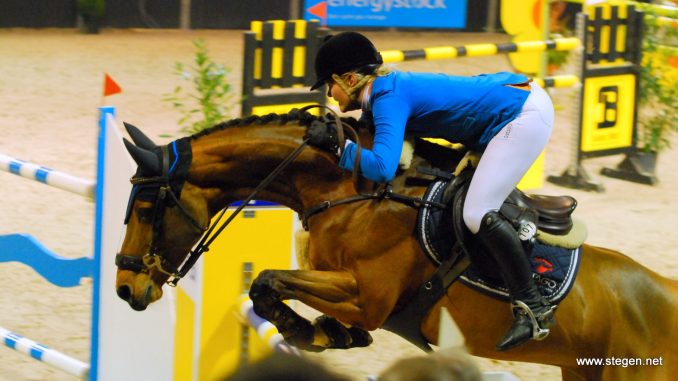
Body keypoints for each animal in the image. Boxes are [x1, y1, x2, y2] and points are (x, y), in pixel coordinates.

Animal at [114, 110, 676, 380]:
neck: (350, 190)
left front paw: (305, 332)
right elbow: (276, 287)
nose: (123, 288)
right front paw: (329, 334)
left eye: (145, 208)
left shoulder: (369, 298)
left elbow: (268, 280)